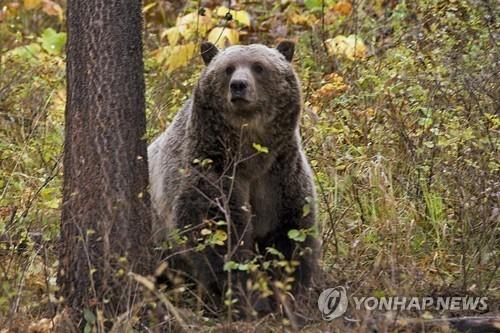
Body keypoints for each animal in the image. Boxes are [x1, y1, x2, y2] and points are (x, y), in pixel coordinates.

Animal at [149, 41, 320, 312]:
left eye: (259, 66)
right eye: (228, 68)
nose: (239, 85)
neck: (250, 155)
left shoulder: (279, 175)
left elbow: (290, 231)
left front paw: (289, 291)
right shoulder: (213, 169)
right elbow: (218, 234)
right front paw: (248, 296)